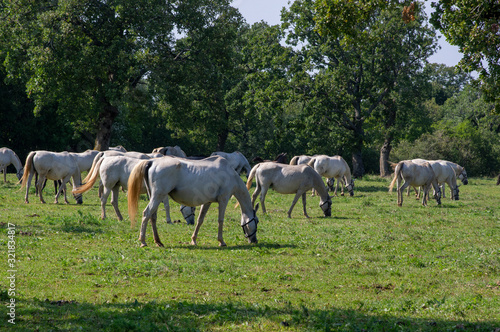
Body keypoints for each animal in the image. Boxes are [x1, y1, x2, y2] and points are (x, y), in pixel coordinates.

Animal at [127, 157, 260, 248]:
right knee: (146, 214)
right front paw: (221, 241)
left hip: (155, 197)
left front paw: (193, 240)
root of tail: (152, 162)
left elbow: (200, 220)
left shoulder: (207, 202)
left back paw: (158, 241)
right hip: (157, 197)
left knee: (152, 216)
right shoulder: (224, 199)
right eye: (257, 221)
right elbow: (220, 220)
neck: (229, 174)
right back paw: (143, 241)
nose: (254, 240)